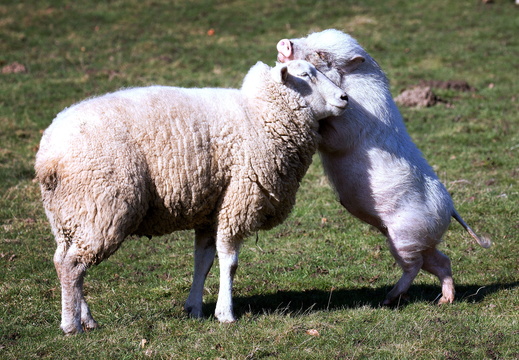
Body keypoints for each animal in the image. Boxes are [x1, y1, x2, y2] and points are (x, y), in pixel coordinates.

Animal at [34, 59, 348, 334]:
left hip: (67, 214)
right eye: (305, 75)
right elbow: (230, 262)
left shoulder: (212, 209)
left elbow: (204, 261)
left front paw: (195, 308)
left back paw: (84, 317)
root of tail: (49, 154)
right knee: (73, 266)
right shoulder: (237, 200)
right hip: (100, 207)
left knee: (64, 262)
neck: (260, 115)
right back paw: (70, 325)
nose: (344, 98)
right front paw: (225, 313)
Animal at [276, 28, 492, 306]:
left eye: (322, 55)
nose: (285, 42)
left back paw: (389, 299)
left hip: (405, 236)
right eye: (308, 36)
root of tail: (451, 208)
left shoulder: (351, 127)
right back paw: (443, 300)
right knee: (441, 261)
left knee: (415, 265)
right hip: (420, 238)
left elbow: (334, 137)